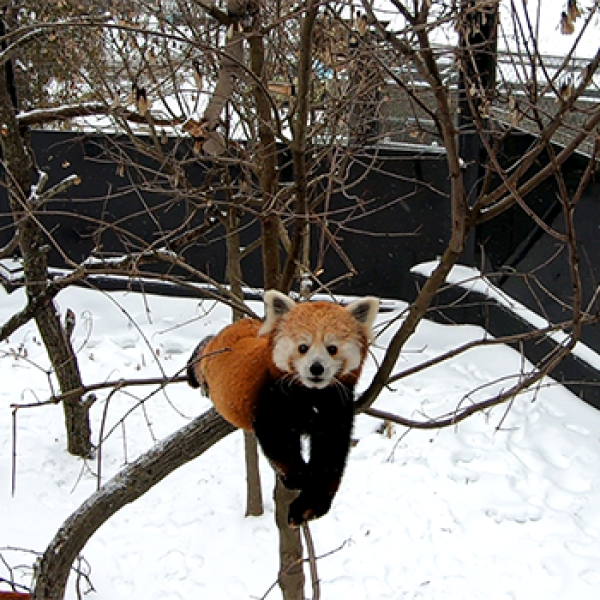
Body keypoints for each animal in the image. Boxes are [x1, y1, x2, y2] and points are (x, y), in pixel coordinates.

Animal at [186, 290, 380, 524]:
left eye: (332, 348)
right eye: (303, 347)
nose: (316, 368)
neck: (310, 394)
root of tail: (236, 326)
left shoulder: (337, 405)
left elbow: (330, 454)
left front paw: (312, 504)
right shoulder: (270, 399)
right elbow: (279, 443)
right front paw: (299, 478)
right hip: (212, 361)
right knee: (202, 357)